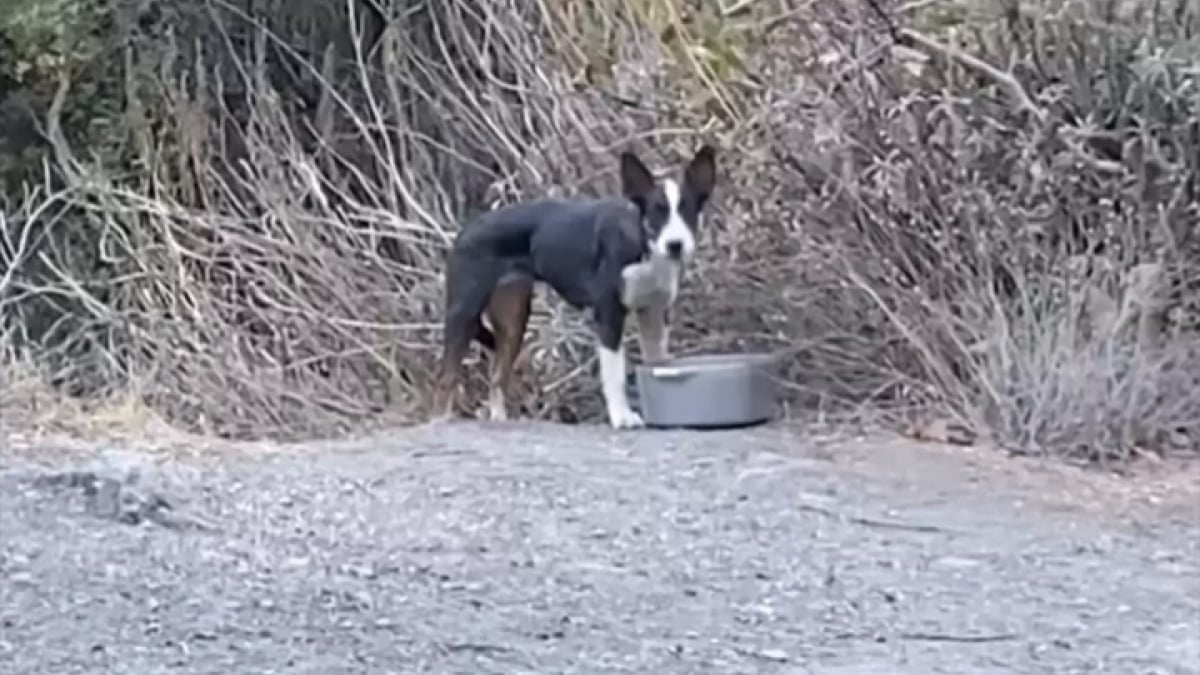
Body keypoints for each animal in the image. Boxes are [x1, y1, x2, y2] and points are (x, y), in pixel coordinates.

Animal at [432, 145, 710, 427]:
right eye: (656, 212)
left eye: (687, 211)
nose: (675, 245)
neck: (643, 246)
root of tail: (465, 231)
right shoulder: (609, 316)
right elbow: (615, 376)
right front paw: (622, 417)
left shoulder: (654, 313)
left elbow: (656, 363)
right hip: (463, 313)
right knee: (446, 379)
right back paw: (441, 421)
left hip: (513, 322)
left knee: (497, 376)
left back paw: (500, 420)